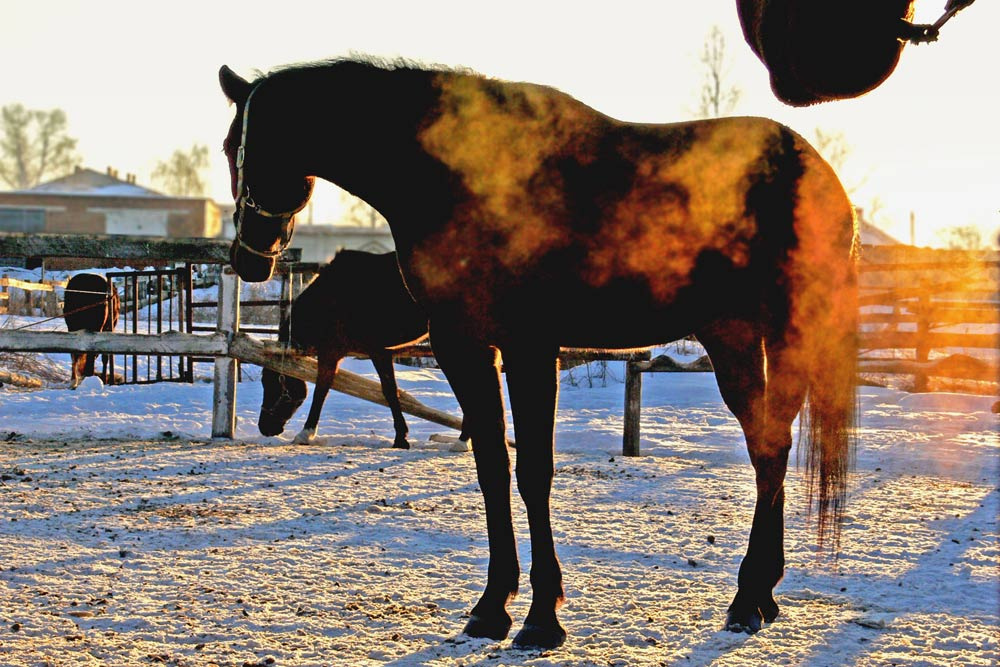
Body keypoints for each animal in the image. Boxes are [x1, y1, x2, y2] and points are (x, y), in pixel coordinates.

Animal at [258, 248, 469, 449]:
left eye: (273, 384)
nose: (264, 428)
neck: (331, 300)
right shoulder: (333, 352)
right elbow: (324, 388)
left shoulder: (374, 351)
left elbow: (387, 391)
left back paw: (462, 441)